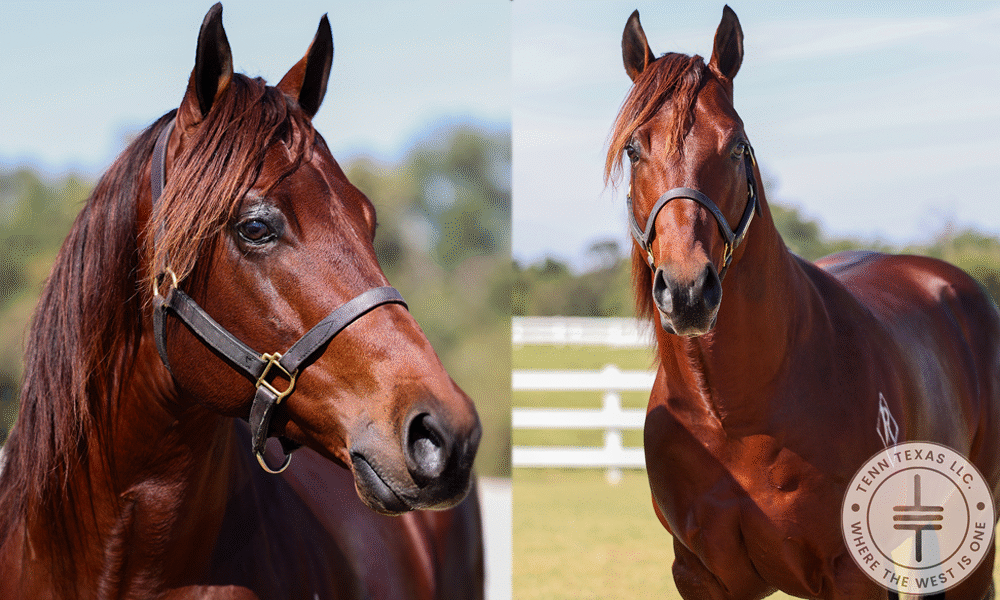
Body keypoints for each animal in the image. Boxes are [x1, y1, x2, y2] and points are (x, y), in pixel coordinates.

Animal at [607, 6, 1000, 600]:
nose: (687, 290)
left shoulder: (850, 573)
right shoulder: (700, 575)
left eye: (736, 144)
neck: (733, 415)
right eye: (634, 148)